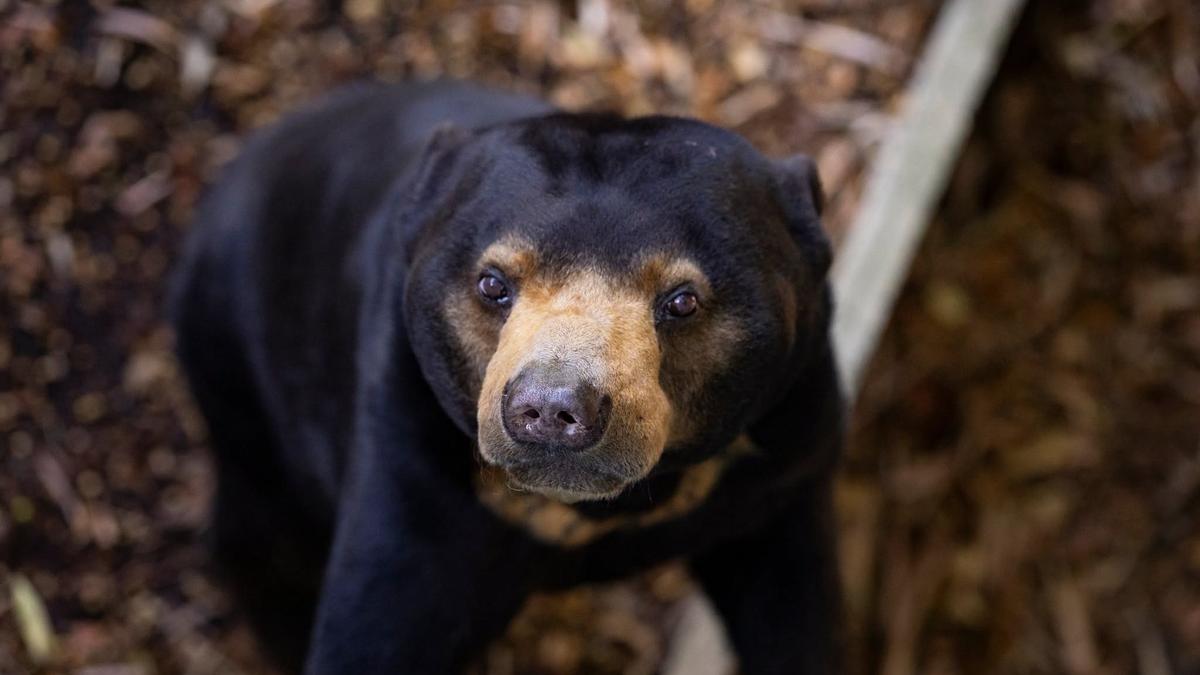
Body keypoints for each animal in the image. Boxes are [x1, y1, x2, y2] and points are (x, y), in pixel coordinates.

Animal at [170, 80, 844, 675]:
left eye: (682, 300)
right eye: (492, 283)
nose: (552, 409)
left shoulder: (780, 454)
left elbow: (790, 608)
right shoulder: (414, 463)